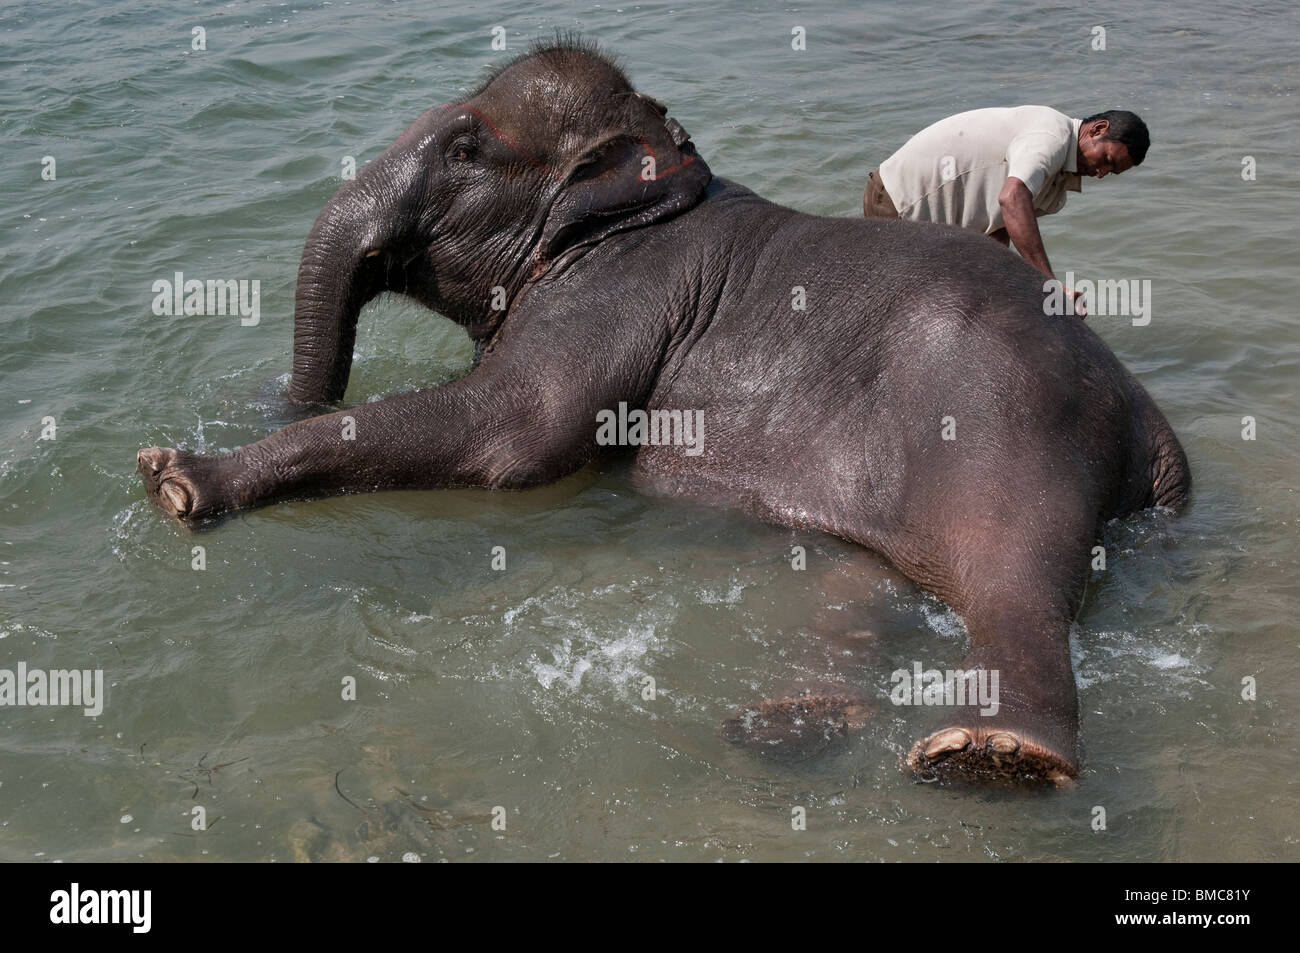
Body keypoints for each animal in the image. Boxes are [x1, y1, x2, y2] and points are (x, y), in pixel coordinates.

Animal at [139, 37, 1190, 785]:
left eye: (467, 147)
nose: (259, 400)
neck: (649, 180)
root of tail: (1153, 429)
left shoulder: (622, 290)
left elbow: (512, 433)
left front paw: (177, 481)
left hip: (1013, 424)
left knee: (1011, 573)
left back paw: (992, 756)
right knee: (867, 579)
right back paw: (778, 733)